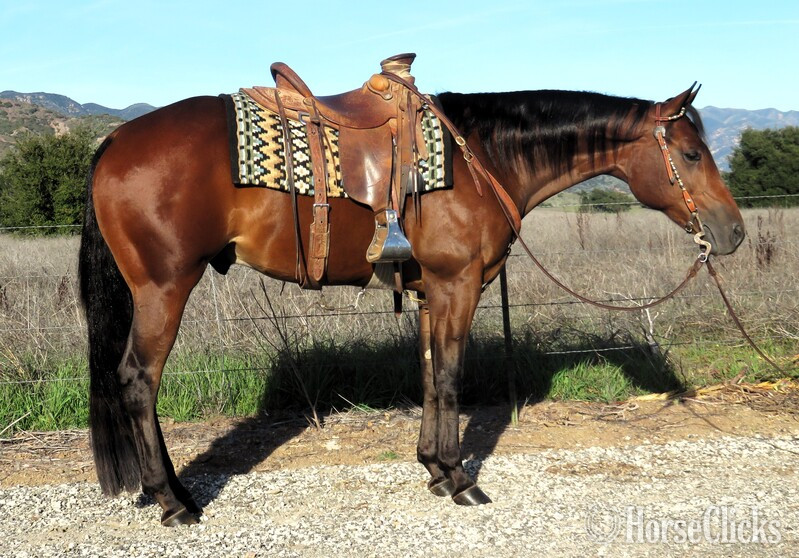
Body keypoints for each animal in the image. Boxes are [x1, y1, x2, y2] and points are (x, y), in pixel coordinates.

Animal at [78, 81, 744, 526]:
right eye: (691, 154)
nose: (733, 232)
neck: (483, 156)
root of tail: (114, 140)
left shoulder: (431, 293)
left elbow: (427, 374)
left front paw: (432, 468)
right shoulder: (459, 285)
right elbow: (449, 376)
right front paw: (460, 479)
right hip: (164, 289)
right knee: (137, 381)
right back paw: (173, 502)